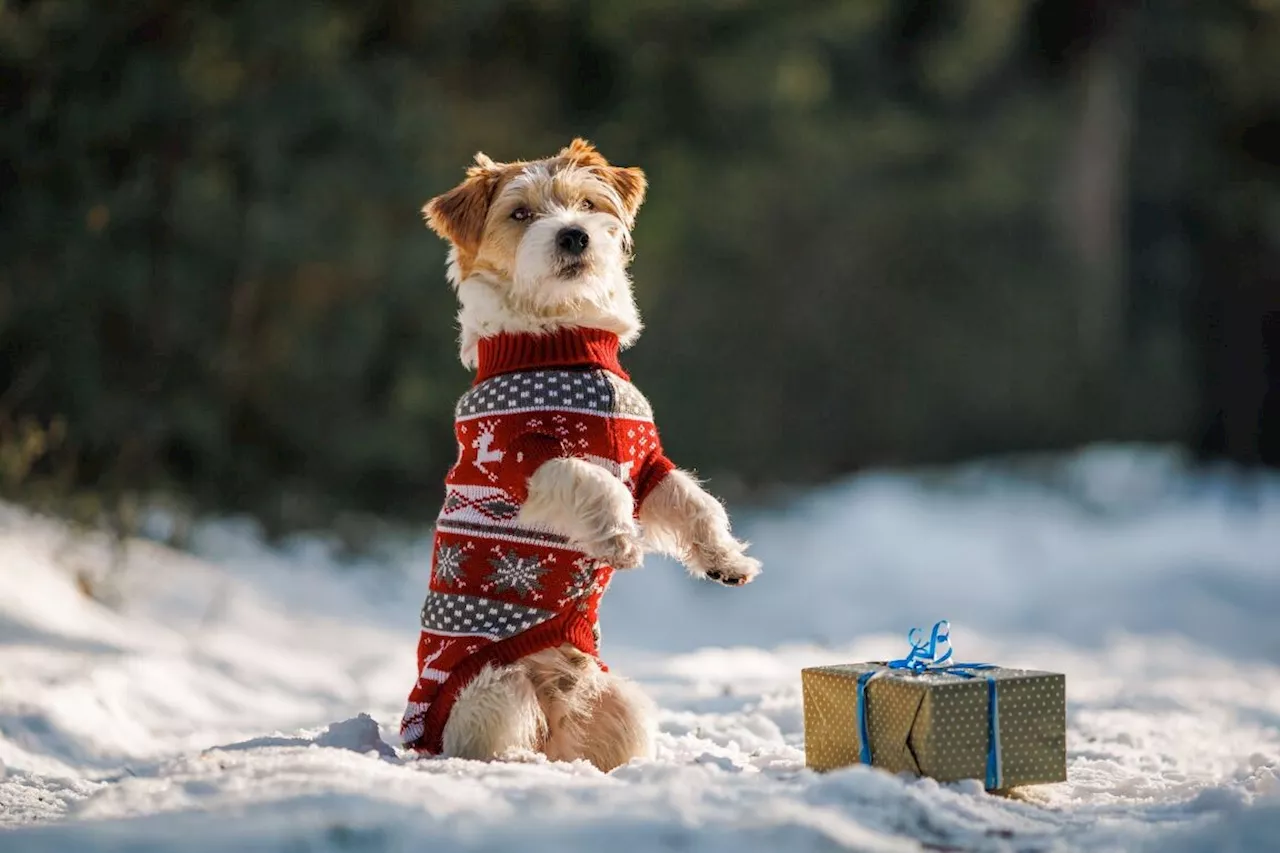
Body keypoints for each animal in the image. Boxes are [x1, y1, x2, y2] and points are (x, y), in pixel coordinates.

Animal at [399, 136, 757, 768]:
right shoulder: (521, 460)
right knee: (491, 737)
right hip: (494, 687)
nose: (574, 235)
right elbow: (591, 478)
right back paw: (519, 762)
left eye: (588, 203)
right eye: (520, 213)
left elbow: (697, 502)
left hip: (621, 705)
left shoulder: (648, 463)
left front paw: (726, 560)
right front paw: (619, 541)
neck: (560, 337)